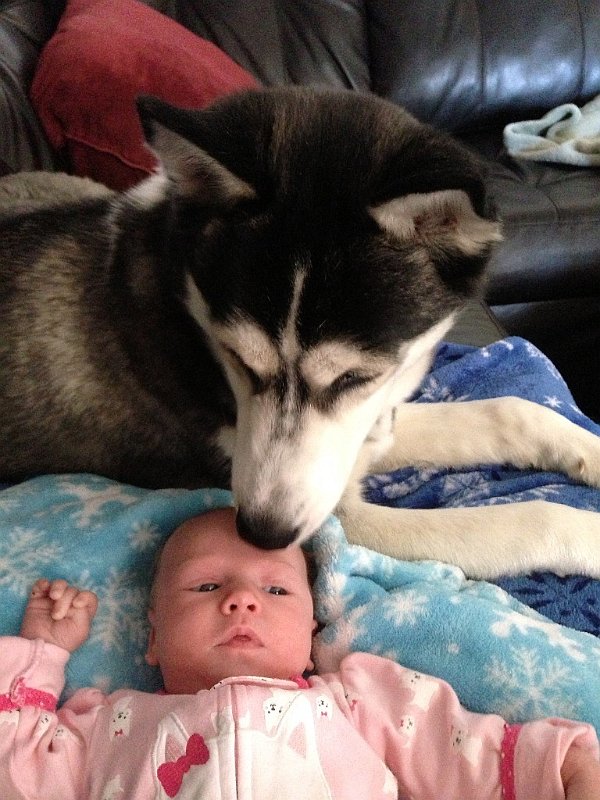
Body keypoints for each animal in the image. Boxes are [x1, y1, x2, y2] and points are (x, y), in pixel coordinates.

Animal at [1, 86, 600, 580]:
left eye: (355, 377)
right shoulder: (339, 515)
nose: (260, 535)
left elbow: (510, 410)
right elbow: (527, 520)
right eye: (237, 359)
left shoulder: (363, 430)